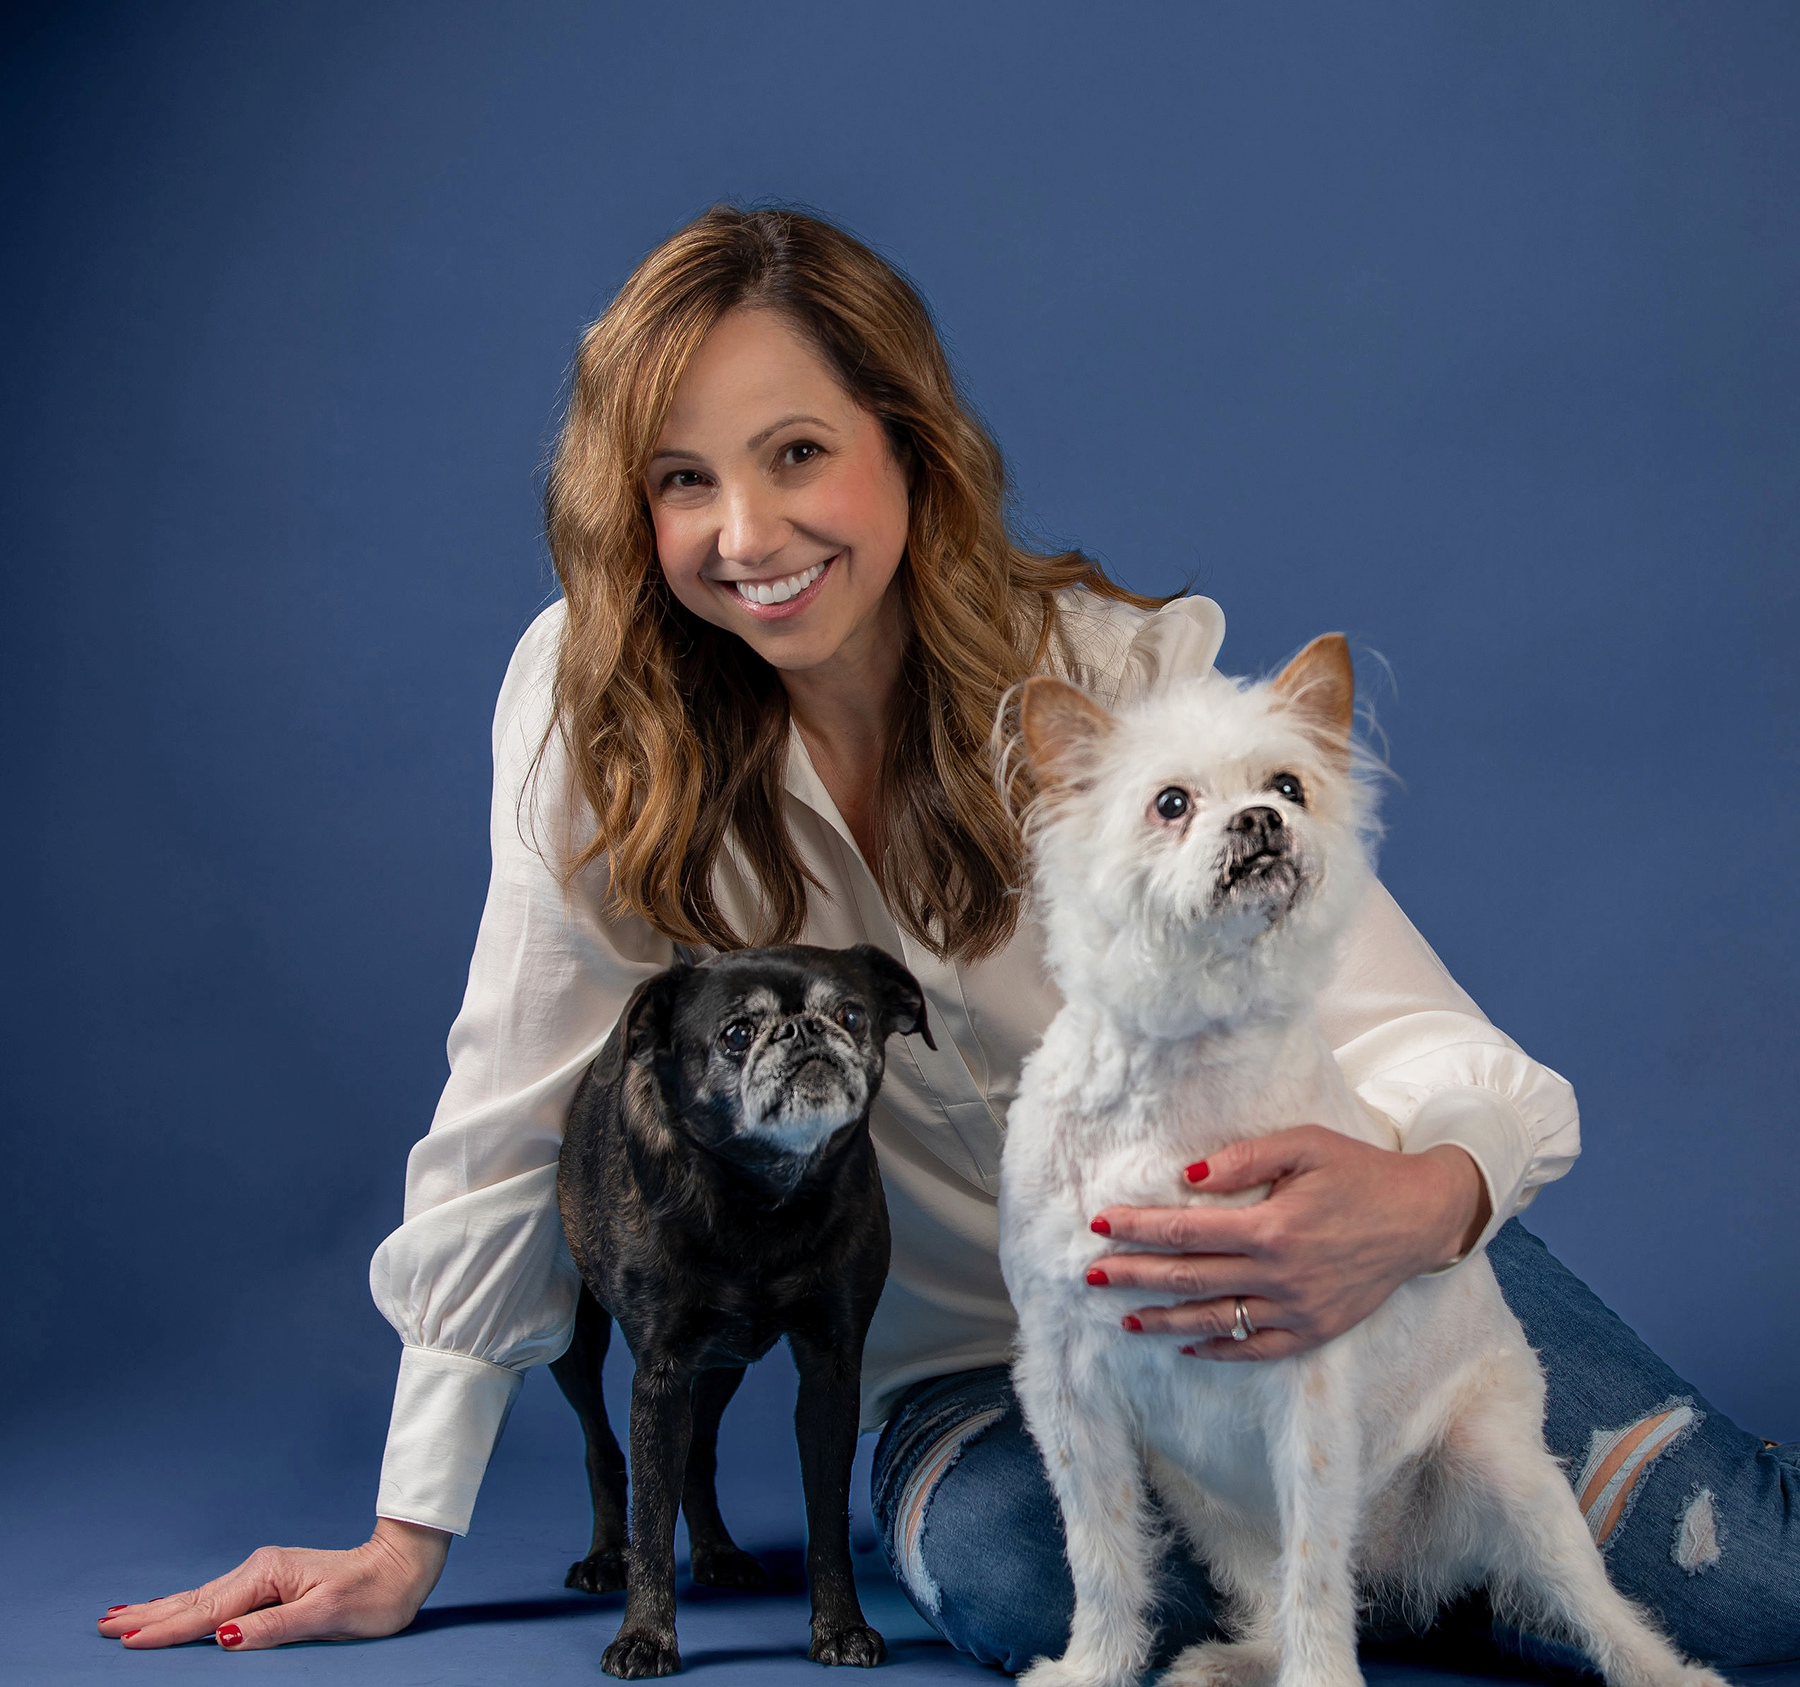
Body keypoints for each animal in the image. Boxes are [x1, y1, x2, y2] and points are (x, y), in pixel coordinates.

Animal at [1000, 633, 1713, 1685]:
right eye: (1170, 802)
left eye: (1289, 785)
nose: (1262, 819)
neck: (1183, 1059)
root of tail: (1402, 1560)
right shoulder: (1066, 1386)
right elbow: (1102, 1555)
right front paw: (1093, 1668)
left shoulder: (1307, 1398)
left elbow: (1315, 1576)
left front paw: (1318, 1678)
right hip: (1205, 1504)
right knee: (1267, 1590)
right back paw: (1233, 1661)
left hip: (1506, 1475)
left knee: (1589, 1606)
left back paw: (1666, 1670)